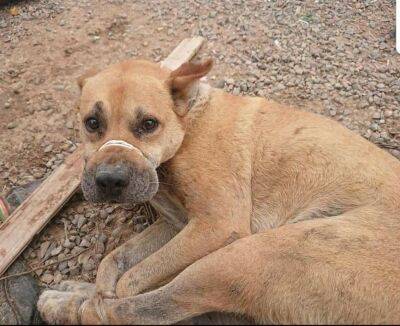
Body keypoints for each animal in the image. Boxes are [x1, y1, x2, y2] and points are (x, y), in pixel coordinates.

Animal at [37, 57, 400, 324]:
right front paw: (99, 284)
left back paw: (68, 305)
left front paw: (102, 295)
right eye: (92, 123)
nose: (110, 181)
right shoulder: (178, 224)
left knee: (138, 310)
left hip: (246, 256)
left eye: (149, 124)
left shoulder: (215, 226)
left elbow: (131, 282)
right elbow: (113, 260)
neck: (188, 122)